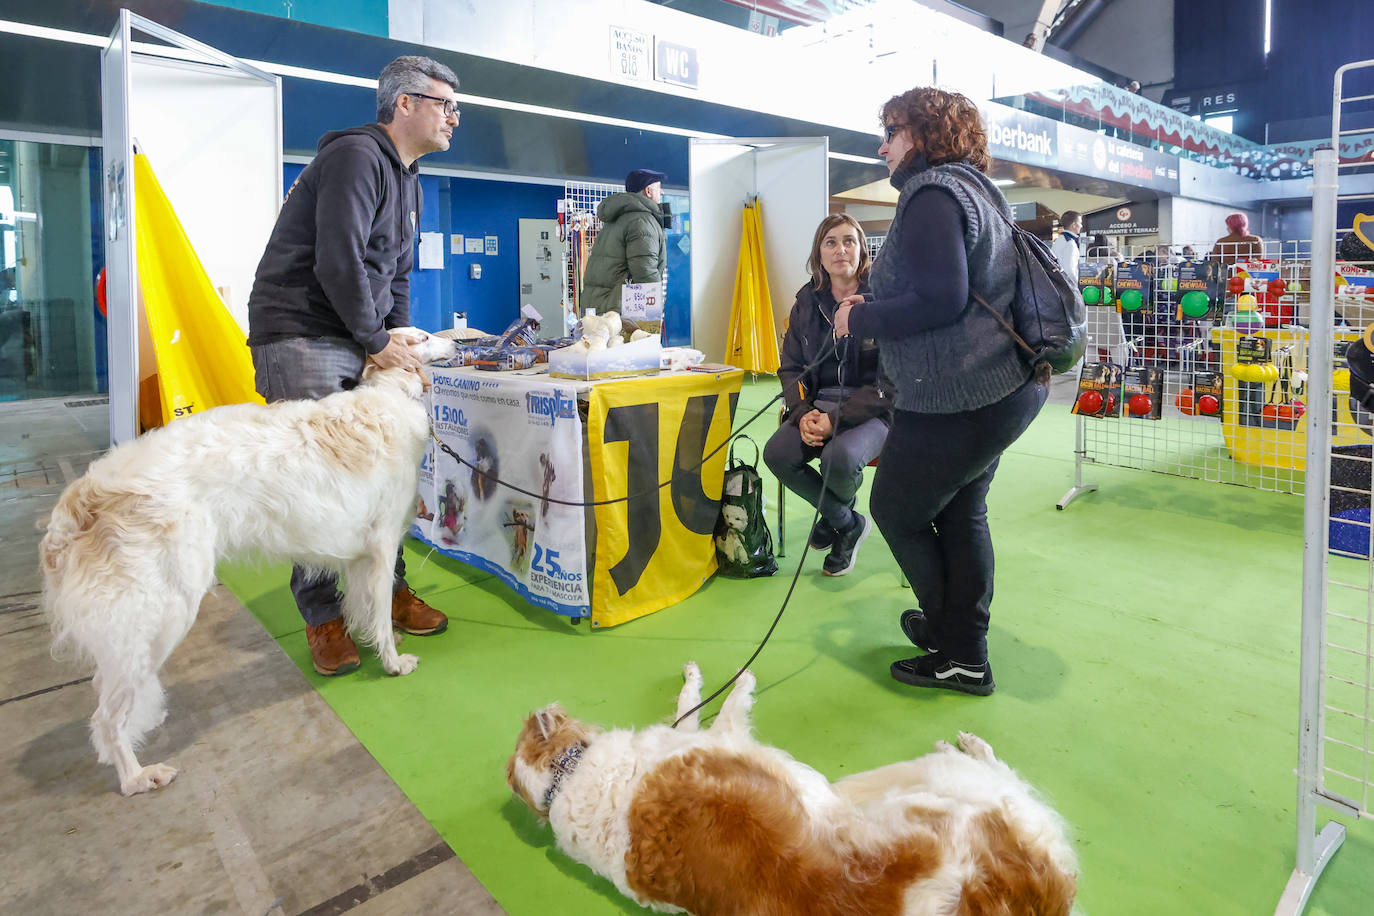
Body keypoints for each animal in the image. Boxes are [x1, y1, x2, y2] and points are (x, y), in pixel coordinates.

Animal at [36, 329, 456, 796]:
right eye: (423, 337)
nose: (458, 343)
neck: (388, 398)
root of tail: (78, 501)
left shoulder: (361, 557)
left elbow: (365, 609)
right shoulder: (381, 546)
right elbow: (380, 613)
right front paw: (393, 663)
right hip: (164, 611)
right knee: (106, 716)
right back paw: (137, 776)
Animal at [511, 667, 1077, 916]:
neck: (566, 780)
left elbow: (690, 702)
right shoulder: (720, 738)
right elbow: (713, 700)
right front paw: (736, 675)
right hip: (933, 786)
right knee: (994, 772)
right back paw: (965, 742)